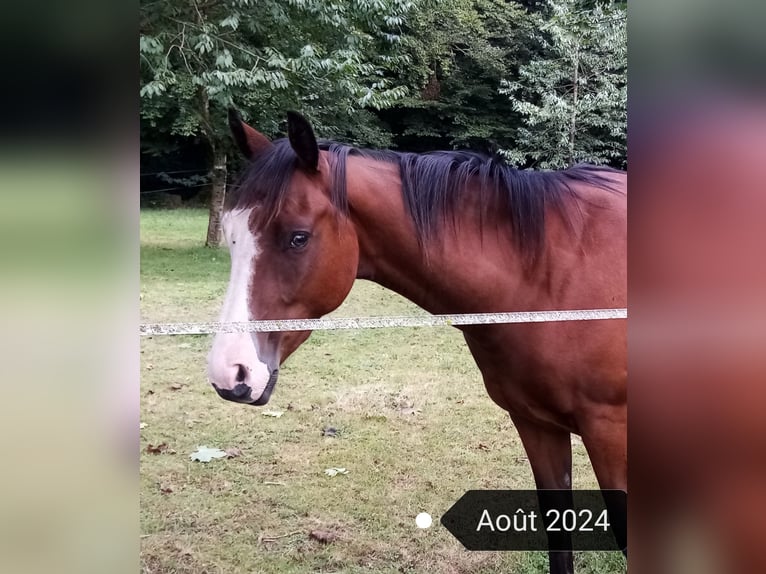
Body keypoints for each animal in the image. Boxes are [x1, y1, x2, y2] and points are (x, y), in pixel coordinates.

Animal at [207, 109, 627, 574]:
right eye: (232, 236)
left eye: (298, 237)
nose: (230, 371)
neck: (551, 276)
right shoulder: (536, 425)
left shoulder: (611, 434)